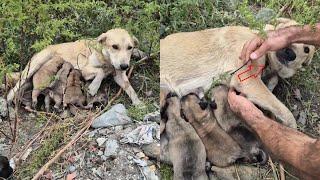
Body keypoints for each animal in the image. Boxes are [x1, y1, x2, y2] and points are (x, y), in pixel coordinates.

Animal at [7, 28, 143, 105]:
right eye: (115, 46)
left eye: (130, 47)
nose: (124, 66)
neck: (106, 59)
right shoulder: (85, 70)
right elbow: (100, 72)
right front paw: (94, 87)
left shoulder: (119, 76)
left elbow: (131, 89)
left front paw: (138, 103)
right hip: (34, 66)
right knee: (15, 86)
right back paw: (8, 99)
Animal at [160, 18, 316, 129]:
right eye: (290, 31)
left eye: (306, 49)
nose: (291, 54)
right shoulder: (247, 80)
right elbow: (282, 108)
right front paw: (292, 126)